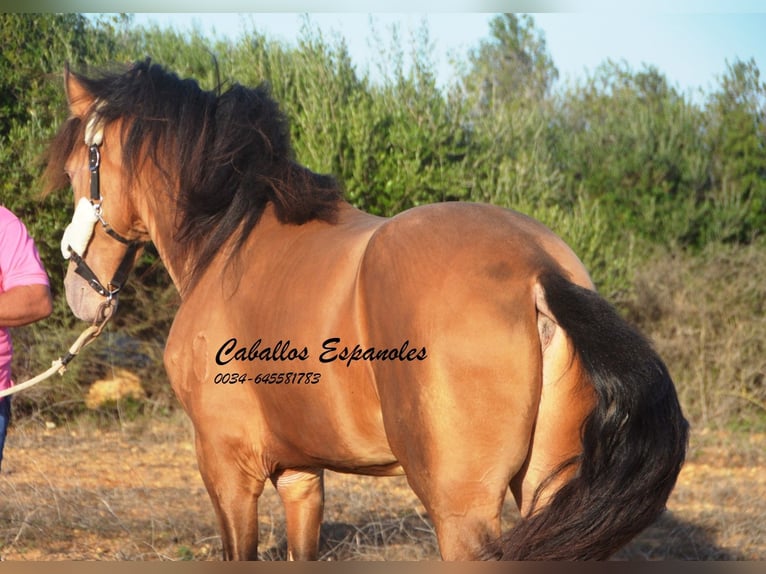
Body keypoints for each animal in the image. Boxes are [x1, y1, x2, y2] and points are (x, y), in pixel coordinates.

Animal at [42, 59, 688, 564]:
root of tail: (537, 270)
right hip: (544, 488)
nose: (75, 283)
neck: (231, 241)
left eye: (77, 170)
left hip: (463, 513)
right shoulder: (302, 475)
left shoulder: (228, 469)